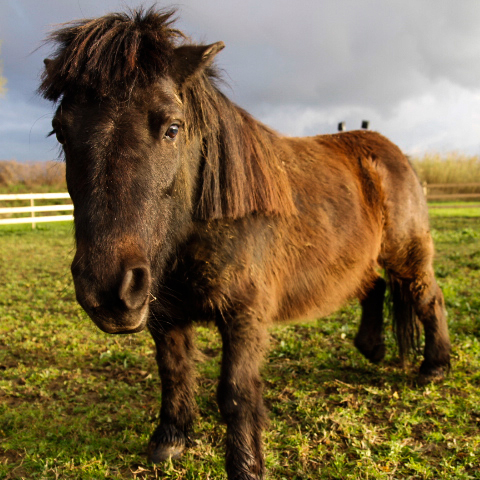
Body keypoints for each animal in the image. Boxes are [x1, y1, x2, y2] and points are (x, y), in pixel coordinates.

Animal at [40, 8, 450, 480]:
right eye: (59, 132)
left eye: (172, 128)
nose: (107, 289)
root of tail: (390, 151)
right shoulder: (164, 313)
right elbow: (174, 369)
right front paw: (171, 440)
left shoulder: (244, 315)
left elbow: (235, 393)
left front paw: (246, 466)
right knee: (374, 286)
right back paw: (373, 348)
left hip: (407, 255)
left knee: (427, 296)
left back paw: (435, 367)